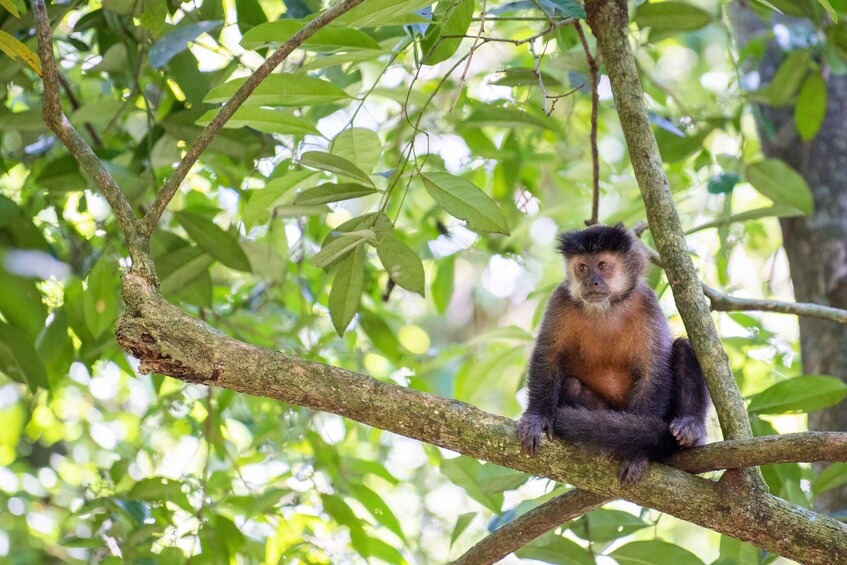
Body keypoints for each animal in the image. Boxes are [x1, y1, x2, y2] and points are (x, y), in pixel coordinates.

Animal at [516, 223, 708, 482]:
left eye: (602, 266)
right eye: (582, 268)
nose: (590, 282)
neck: (606, 308)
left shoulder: (645, 301)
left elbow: (654, 369)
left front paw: (637, 452)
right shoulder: (561, 299)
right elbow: (548, 355)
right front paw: (536, 418)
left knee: (683, 348)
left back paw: (690, 427)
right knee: (572, 386)